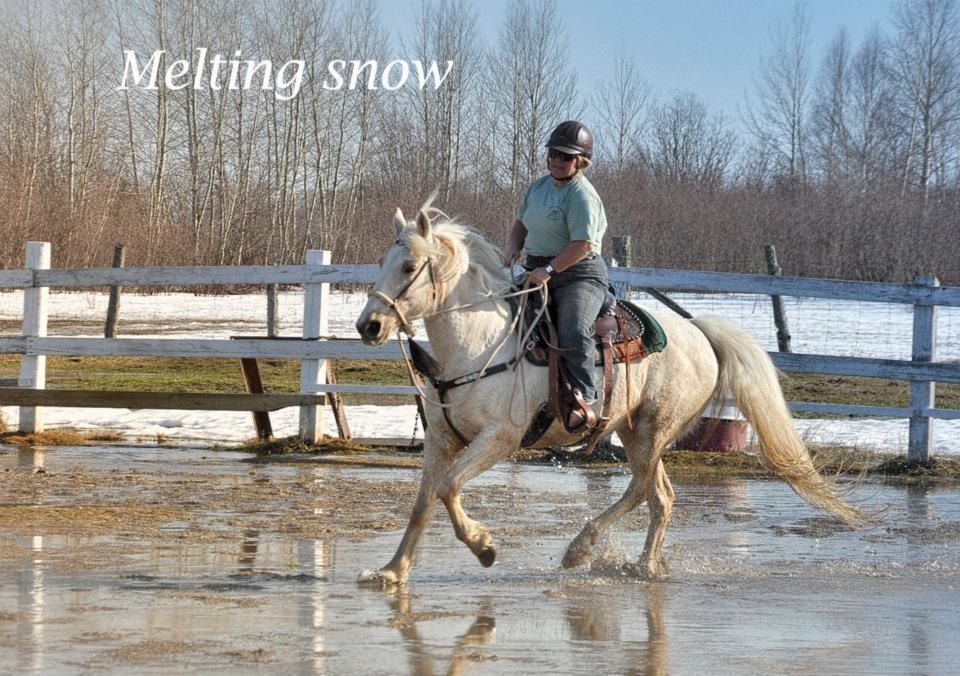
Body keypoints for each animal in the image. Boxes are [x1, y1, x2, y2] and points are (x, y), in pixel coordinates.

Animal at [354, 201, 864, 588]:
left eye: (408, 267)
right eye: (380, 263)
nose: (368, 326)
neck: (477, 343)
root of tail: (699, 331)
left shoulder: (500, 438)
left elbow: (448, 488)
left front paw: (484, 547)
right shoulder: (441, 439)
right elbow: (424, 502)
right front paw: (391, 572)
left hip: (655, 430)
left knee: (643, 489)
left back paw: (582, 551)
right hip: (637, 432)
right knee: (661, 496)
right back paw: (643, 564)